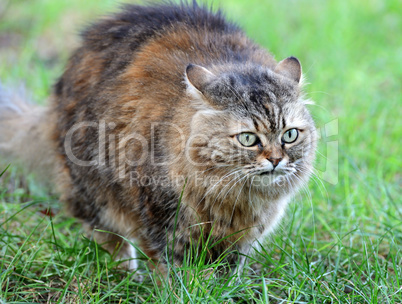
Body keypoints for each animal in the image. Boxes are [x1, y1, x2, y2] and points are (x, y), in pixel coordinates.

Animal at [0, 0, 316, 276]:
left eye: (289, 135)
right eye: (248, 139)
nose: (276, 160)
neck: (233, 199)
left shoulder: (242, 236)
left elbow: (229, 269)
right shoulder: (163, 218)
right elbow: (177, 268)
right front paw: (186, 289)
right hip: (93, 192)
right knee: (108, 238)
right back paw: (127, 275)